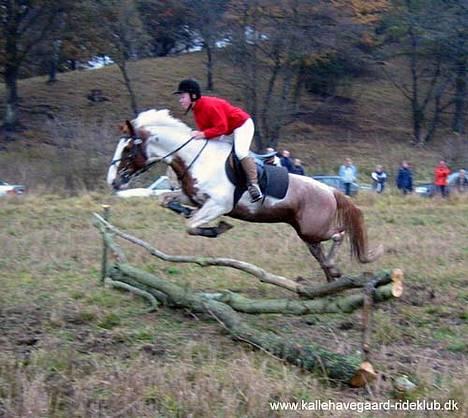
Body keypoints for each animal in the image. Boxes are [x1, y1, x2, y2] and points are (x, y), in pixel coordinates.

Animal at [108, 109, 382, 282]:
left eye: (129, 149)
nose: (113, 181)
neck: (194, 158)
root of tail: (331, 190)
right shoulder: (193, 197)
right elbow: (167, 201)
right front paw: (185, 211)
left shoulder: (218, 205)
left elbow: (192, 225)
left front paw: (216, 229)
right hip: (306, 233)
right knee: (320, 251)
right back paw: (331, 274)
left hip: (313, 229)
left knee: (339, 234)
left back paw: (333, 268)